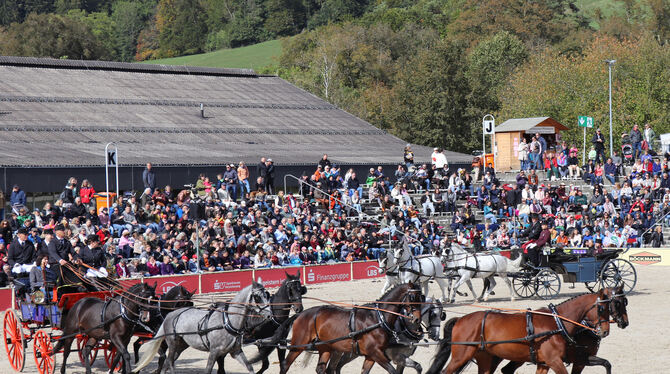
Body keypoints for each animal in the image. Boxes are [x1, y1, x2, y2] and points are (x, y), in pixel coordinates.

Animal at [134, 280, 272, 374]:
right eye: (257, 297)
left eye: (267, 295)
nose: (270, 315)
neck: (227, 321)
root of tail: (170, 315)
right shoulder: (214, 351)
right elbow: (208, 370)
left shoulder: (235, 352)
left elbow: (250, 368)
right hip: (172, 343)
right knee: (169, 362)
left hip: (181, 345)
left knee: (168, 362)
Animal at [266, 284, 422, 374]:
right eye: (412, 296)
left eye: (422, 296)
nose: (417, 319)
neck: (378, 318)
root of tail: (300, 314)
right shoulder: (376, 353)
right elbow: (393, 371)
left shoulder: (371, 356)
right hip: (298, 345)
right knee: (285, 365)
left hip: (325, 347)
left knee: (321, 369)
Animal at [428, 290, 616, 374]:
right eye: (601, 308)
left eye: (611, 307)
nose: (605, 331)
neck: (557, 322)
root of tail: (461, 319)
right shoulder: (554, 361)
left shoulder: (545, 362)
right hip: (461, 355)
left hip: (485, 358)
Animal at [498, 284, 632, 372]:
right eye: (617, 303)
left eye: (625, 301)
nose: (625, 322)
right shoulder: (579, 360)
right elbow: (606, 363)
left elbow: (606, 363)